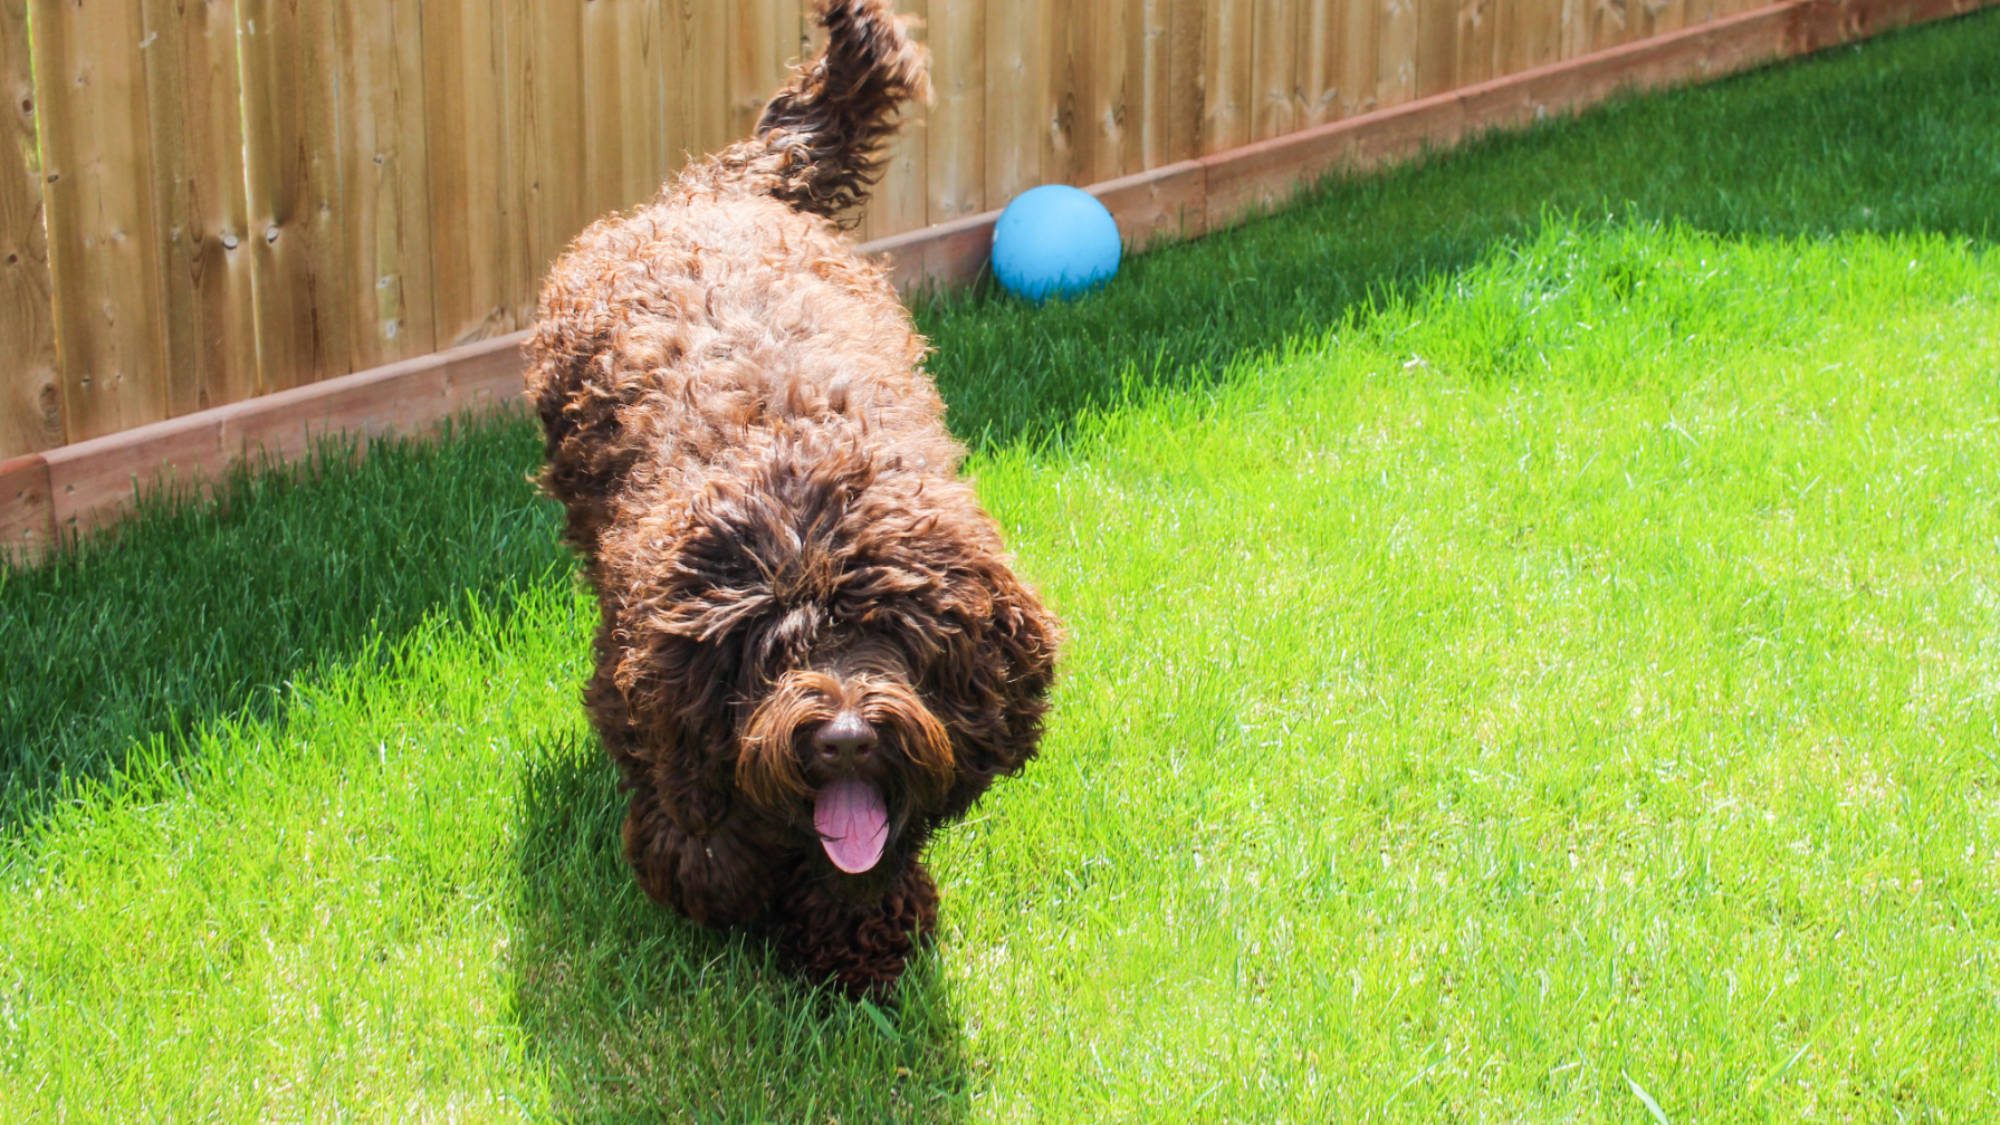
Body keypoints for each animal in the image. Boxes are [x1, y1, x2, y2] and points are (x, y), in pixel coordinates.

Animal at [528, 2, 1064, 996]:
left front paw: (861, 936)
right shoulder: (651, 689)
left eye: (896, 637)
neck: (803, 480)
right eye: (776, 648)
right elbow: (698, 836)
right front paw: (735, 883)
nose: (848, 736)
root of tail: (712, 190)